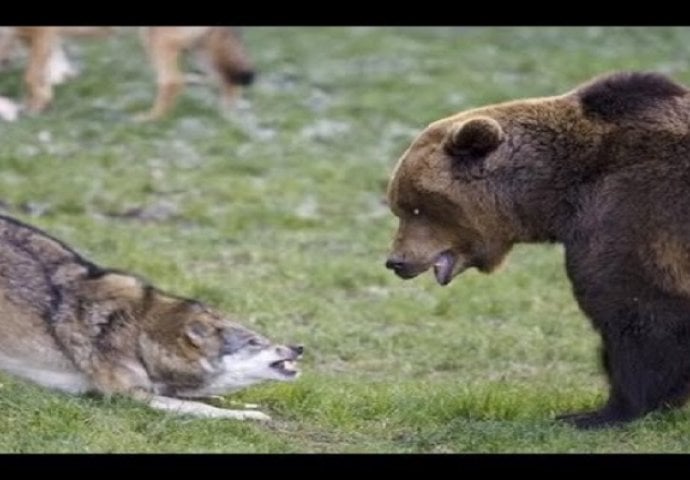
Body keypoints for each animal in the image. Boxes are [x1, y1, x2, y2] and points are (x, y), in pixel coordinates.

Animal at [0, 215, 304, 420]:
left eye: (262, 338)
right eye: (254, 342)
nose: (299, 347)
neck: (139, 338)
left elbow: (215, 397)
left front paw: (249, 406)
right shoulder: (129, 396)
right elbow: (203, 406)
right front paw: (249, 416)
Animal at [384, 70, 688, 428]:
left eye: (416, 208)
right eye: (400, 206)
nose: (396, 261)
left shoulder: (630, 209)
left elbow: (638, 308)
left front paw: (601, 412)